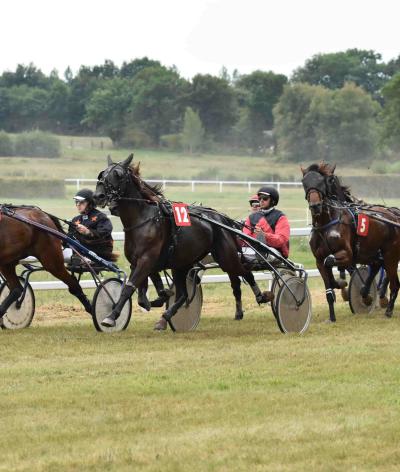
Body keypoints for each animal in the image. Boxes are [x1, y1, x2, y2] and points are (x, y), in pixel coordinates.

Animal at [92, 154, 270, 328]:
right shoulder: (139, 262)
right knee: (184, 295)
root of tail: (221, 218)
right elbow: (143, 294)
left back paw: (262, 296)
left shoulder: (147, 259)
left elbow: (129, 288)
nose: (98, 196)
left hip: (225, 257)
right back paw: (164, 319)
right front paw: (159, 297)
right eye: (102, 174)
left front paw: (111, 317)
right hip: (182, 264)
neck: (143, 219)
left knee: (245, 272)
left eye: (118, 175)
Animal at [302, 161, 398, 320]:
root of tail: (394, 216)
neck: (326, 224)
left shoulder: (348, 254)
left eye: (324, 181)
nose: (315, 206)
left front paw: (342, 285)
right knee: (379, 267)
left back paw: (388, 309)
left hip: (390, 255)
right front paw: (332, 317)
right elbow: (328, 282)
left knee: (394, 282)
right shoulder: (319, 259)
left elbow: (330, 260)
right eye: (304, 182)